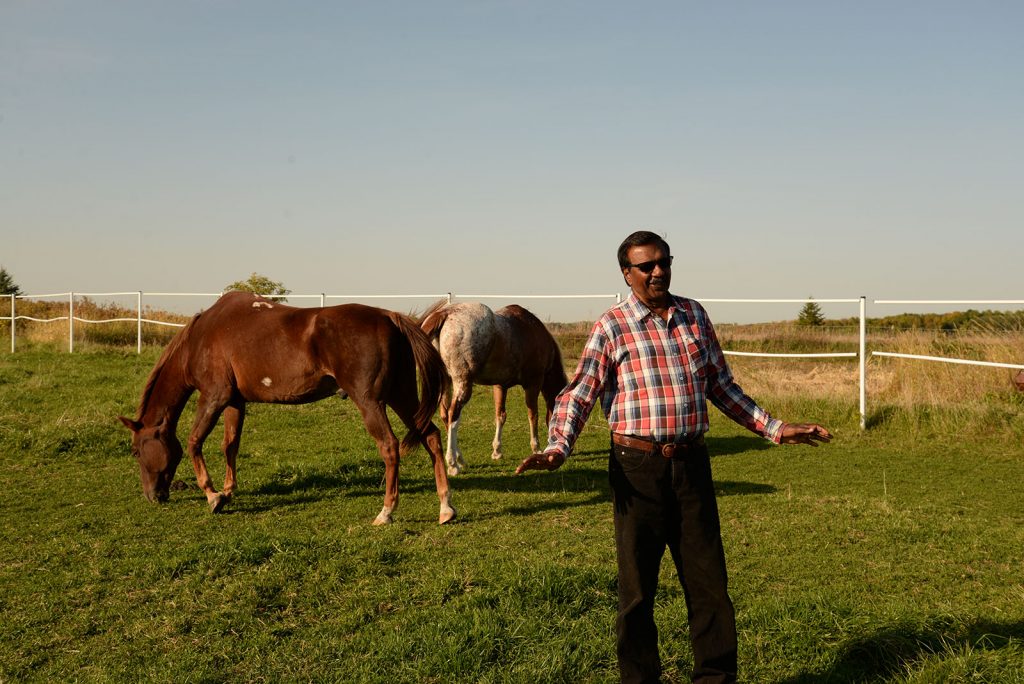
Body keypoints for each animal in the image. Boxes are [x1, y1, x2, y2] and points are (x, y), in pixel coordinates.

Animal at [119, 290, 456, 528]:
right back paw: (445, 508)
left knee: (389, 446)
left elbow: (194, 442)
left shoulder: (214, 397)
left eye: (135, 451)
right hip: (403, 397)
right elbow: (230, 445)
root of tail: (389, 316)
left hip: (371, 403)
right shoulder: (235, 402)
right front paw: (228, 491)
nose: (153, 496)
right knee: (431, 436)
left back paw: (386, 512)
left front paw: (213, 496)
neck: (202, 336)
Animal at [419, 301, 573, 475]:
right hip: (462, 384)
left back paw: (460, 460)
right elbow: (533, 415)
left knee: (445, 415)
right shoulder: (533, 384)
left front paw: (497, 451)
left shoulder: (500, 386)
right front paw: (536, 448)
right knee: (453, 416)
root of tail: (444, 313)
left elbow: (500, 415)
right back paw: (453, 464)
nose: (570, 450)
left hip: (446, 383)